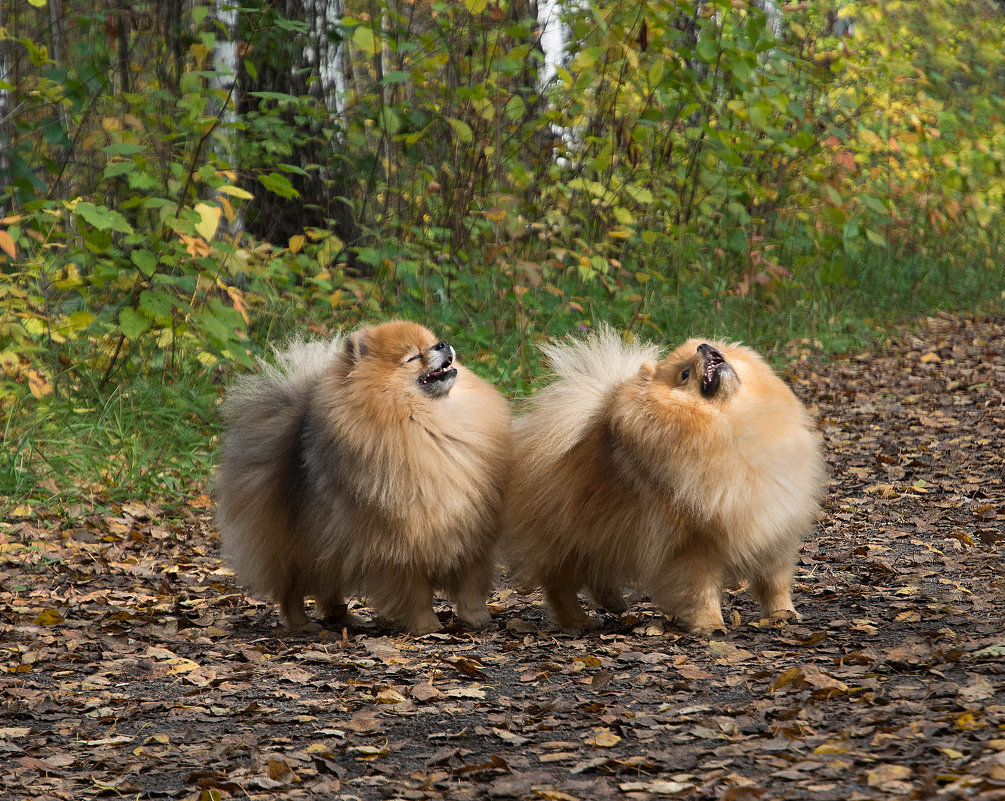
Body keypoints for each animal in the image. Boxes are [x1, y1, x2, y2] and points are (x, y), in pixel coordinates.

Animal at [213, 321, 510, 635]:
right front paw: (427, 626)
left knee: (328, 585)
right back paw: (301, 624)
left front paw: (477, 617)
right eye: (413, 357)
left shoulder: (470, 533)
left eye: (431, 342)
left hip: (331, 543)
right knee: (291, 588)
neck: (429, 424)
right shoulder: (402, 545)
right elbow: (416, 592)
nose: (442, 344)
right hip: (295, 545)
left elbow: (471, 583)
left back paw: (344, 617)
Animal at [502, 327, 824, 635]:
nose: (703, 347)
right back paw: (577, 620)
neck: (732, 424)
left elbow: (774, 581)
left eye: (702, 346)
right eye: (684, 374)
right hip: (569, 538)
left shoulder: (775, 527)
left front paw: (783, 614)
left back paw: (614, 603)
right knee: (559, 584)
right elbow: (701, 589)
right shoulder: (693, 545)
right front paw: (710, 625)